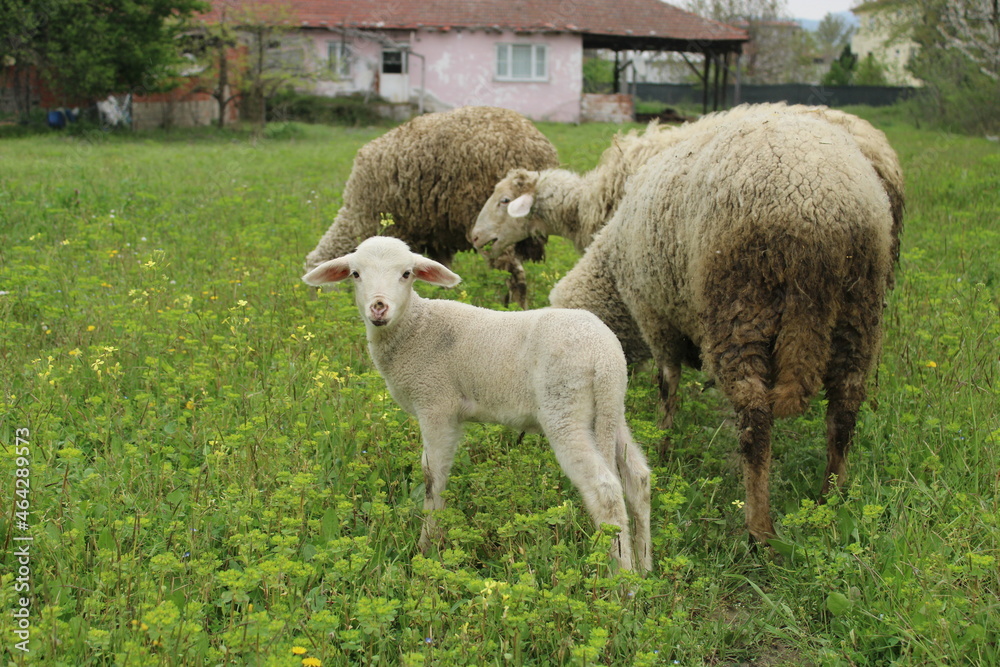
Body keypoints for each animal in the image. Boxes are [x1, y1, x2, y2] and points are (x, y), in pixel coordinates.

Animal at [302, 236, 652, 573]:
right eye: (355, 274)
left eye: (406, 274)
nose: (378, 307)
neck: (415, 328)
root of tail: (604, 355)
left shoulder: (435, 403)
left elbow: (432, 476)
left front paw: (427, 548)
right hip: (609, 409)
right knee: (638, 478)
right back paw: (644, 566)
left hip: (565, 407)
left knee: (605, 491)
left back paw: (621, 579)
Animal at [304, 106, 560, 308]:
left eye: (317, 288)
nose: (317, 309)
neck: (355, 218)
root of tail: (533, 148)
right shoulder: (436, 240)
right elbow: (441, 275)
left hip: (493, 227)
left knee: (513, 276)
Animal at [546, 108, 897, 543]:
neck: (613, 276)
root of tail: (820, 211)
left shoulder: (655, 314)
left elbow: (668, 382)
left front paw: (663, 446)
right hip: (858, 310)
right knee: (845, 408)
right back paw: (829, 500)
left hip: (738, 305)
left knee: (755, 418)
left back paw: (759, 529)